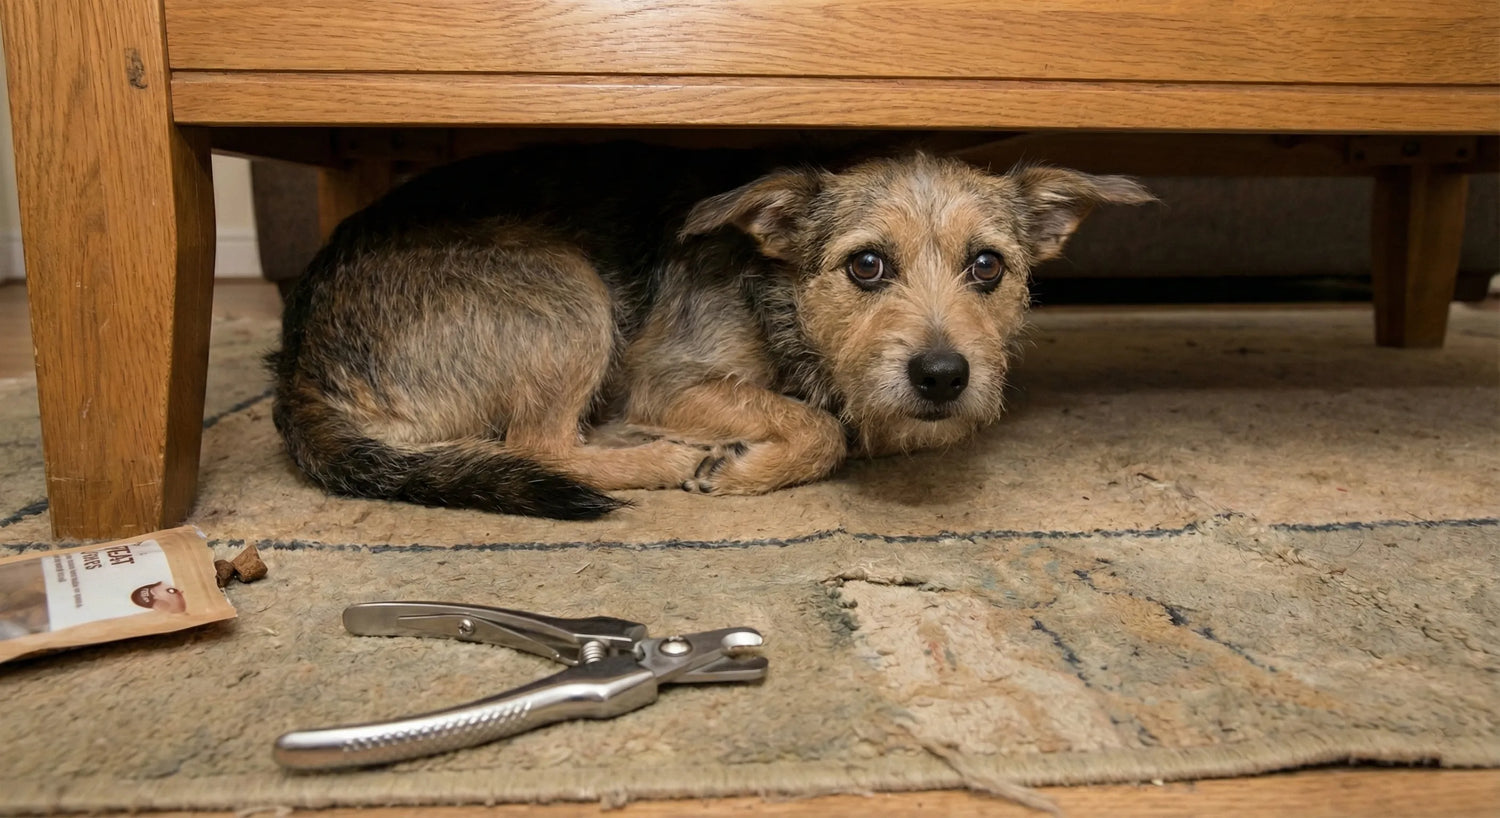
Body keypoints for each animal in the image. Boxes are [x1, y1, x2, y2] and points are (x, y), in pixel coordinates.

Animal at [268, 142, 1151, 519]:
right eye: (866, 266)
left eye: (988, 267)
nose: (942, 375)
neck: (780, 297)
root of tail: (300, 362)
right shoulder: (666, 378)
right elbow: (821, 428)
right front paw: (740, 466)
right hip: (568, 293)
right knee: (537, 443)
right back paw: (663, 459)